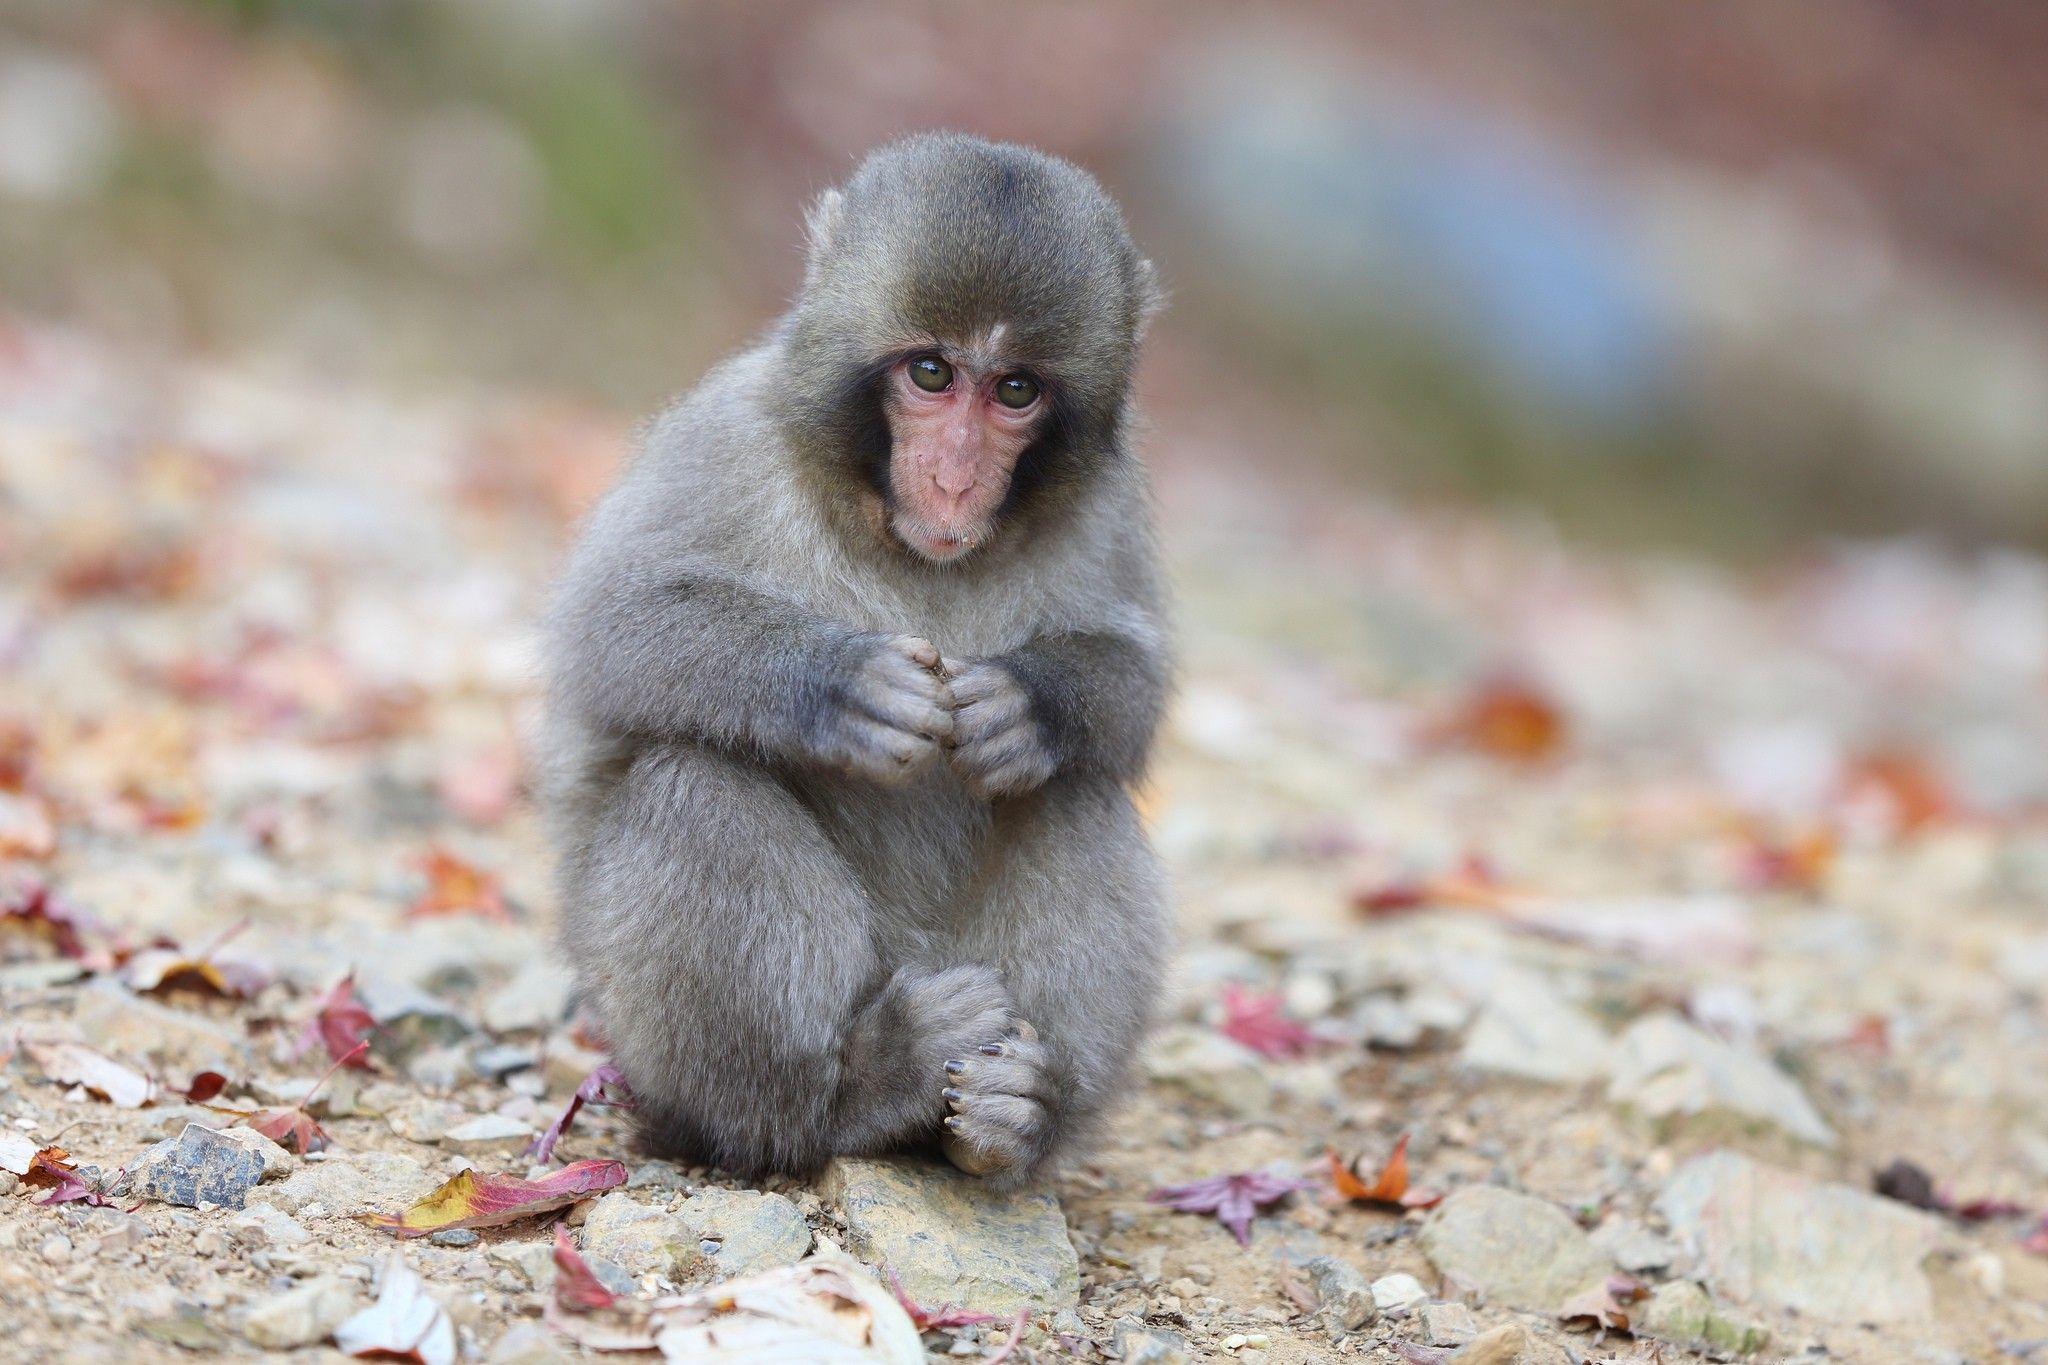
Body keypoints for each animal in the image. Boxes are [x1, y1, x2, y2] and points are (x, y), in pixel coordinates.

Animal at [541, 132, 1170, 1189]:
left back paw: (1019, 1116)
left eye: (1014, 390)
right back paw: (843, 1092)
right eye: (931, 373)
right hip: (658, 1044)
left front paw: (1025, 705)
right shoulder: (727, 433)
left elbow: (1137, 679)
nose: (955, 478)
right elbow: (611, 625)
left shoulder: (1111, 503)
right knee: (691, 781)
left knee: (1077, 793)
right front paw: (844, 687)